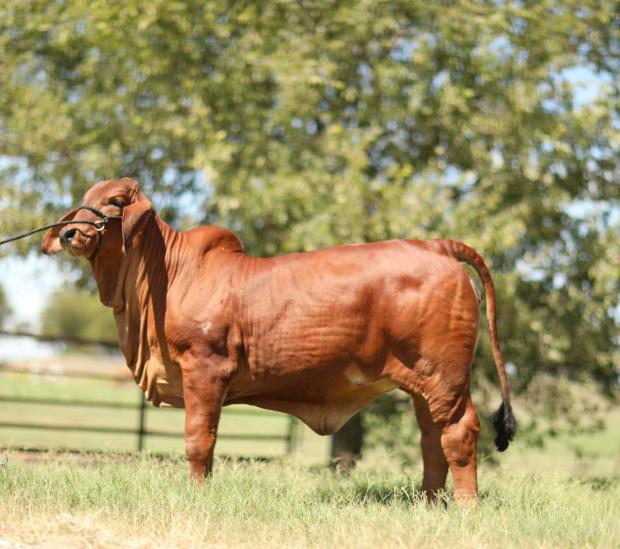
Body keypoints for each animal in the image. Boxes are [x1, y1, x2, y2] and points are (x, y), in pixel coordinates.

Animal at [41, 177, 515, 501]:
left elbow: (199, 440)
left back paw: (466, 506)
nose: (68, 233)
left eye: (116, 201)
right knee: (432, 440)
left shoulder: (205, 368)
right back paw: (428, 503)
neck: (164, 277)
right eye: (86, 197)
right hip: (423, 383)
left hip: (444, 376)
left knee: (458, 433)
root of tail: (437, 246)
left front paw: (197, 494)